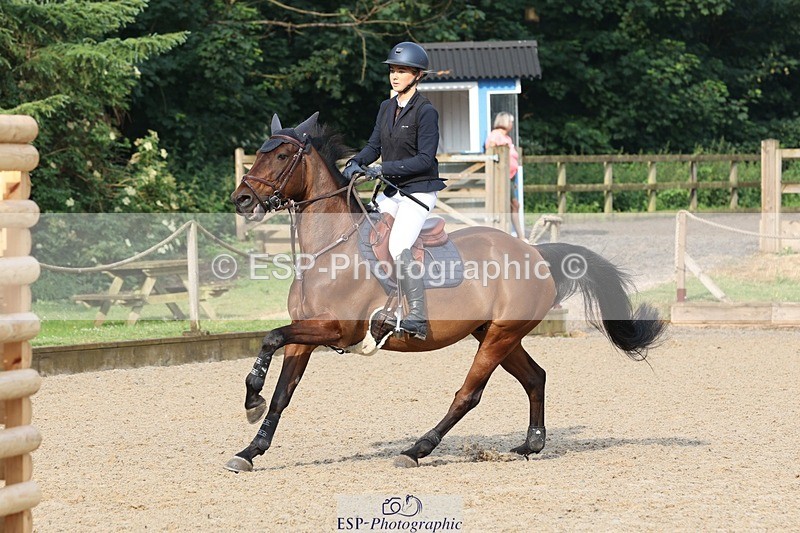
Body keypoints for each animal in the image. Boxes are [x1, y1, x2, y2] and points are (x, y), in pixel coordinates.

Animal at [225, 112, 667, 472]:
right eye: (260, 155)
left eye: (282, 156)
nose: (241, 199)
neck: (330, 249)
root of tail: (534, 252)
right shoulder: (306, 332)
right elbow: (282, 392)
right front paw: (250, 448)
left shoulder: (337, 329)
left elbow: (270, 337)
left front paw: (251, 401)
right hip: (496, 333)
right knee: (534, 377)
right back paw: (531, 445)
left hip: (500, 336)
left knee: (468, 394)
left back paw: (417, 449)